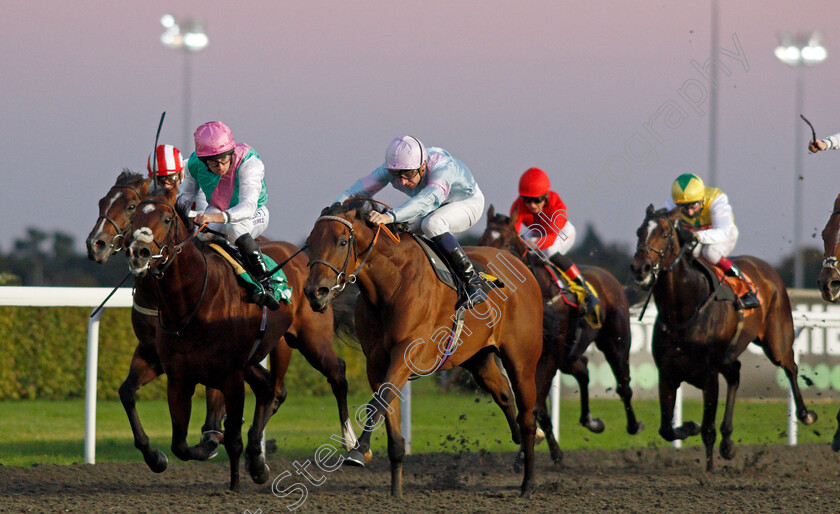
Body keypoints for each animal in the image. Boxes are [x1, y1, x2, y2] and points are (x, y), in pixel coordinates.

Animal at [119, 187, 354, 488]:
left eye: (167, 219)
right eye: (133, 216)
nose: (139, 253)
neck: (193, 301)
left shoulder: (230, 376)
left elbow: (231, 438)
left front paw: (233, 483)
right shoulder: (174, 373)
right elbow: (177, 443)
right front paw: (159, 457)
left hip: (310, 341)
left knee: (334, 375)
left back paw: (351, 443)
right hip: (257, 357)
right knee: (269, 389)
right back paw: (257, 459)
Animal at [302, 200, 544, 496]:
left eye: (342, 241)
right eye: (311, 242)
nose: (316, 292)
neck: (391, 285)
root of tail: (521, 266)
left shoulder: (407, 354)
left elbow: (378, 403)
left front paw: (358, 451)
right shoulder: (376, 362)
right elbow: (386, 409)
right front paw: (395, 490)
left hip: (522, 360)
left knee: (528, 415)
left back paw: (528, 483)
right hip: (479, 359)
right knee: (504, 395)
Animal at [480, 205, 644, 464]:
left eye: (505, 243)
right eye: (482, 241)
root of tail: (610, 278)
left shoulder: (549, 357)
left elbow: (536, 406)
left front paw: (527, 454)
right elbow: (536, 407)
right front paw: (548, 452)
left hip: (616, 342)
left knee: (624, 384)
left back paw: (633, 425)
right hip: (569, 354)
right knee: (583, 369)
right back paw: (591, 421)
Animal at [632, 204, 816, 468]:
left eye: (665, 234)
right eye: (639, 232)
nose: (640, 269)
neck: (683, 310)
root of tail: (767, 268)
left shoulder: (709, 375)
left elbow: (707, 429)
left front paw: (709, 470)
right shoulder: (667, 374)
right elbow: (666, 429)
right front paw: (689, 427)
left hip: (777, 340)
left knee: (790, 366)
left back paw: (805, 414)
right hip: (729, 356)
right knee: (735, 374)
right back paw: (728, 441)